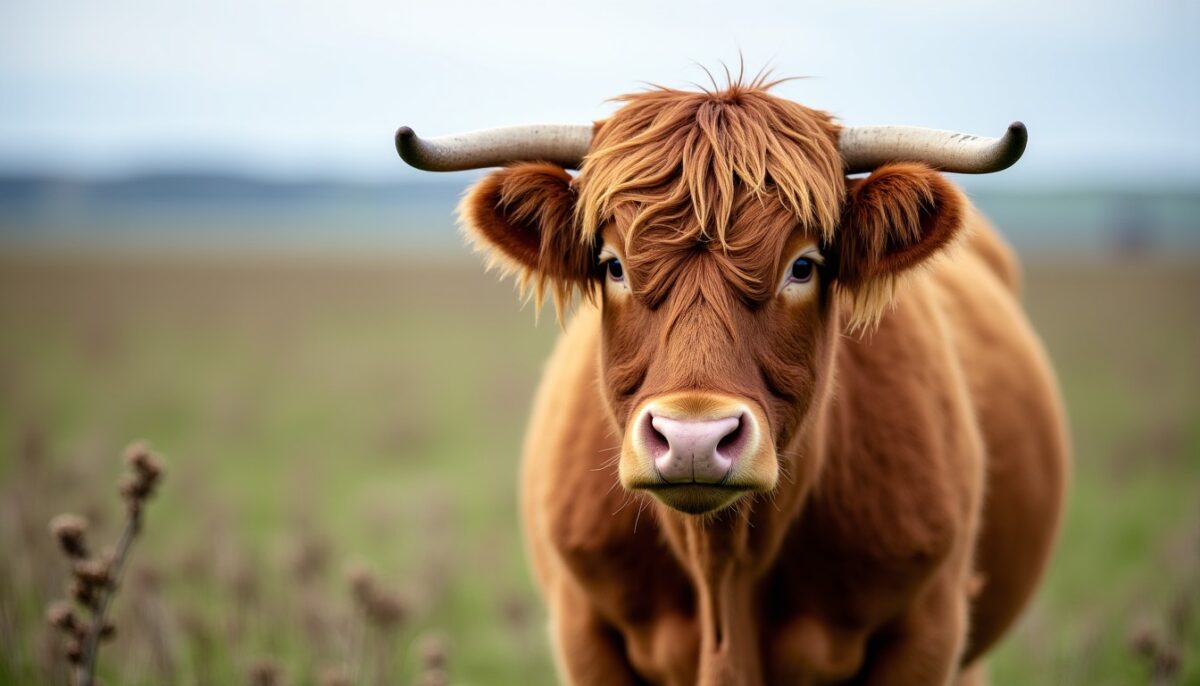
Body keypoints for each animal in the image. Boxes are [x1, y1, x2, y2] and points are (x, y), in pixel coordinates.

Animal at [395, 77, 1069, 686]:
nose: (693, 439)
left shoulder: (929, 626)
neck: (724, 569)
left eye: (804, 265)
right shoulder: (583, 628)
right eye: (613, 265)